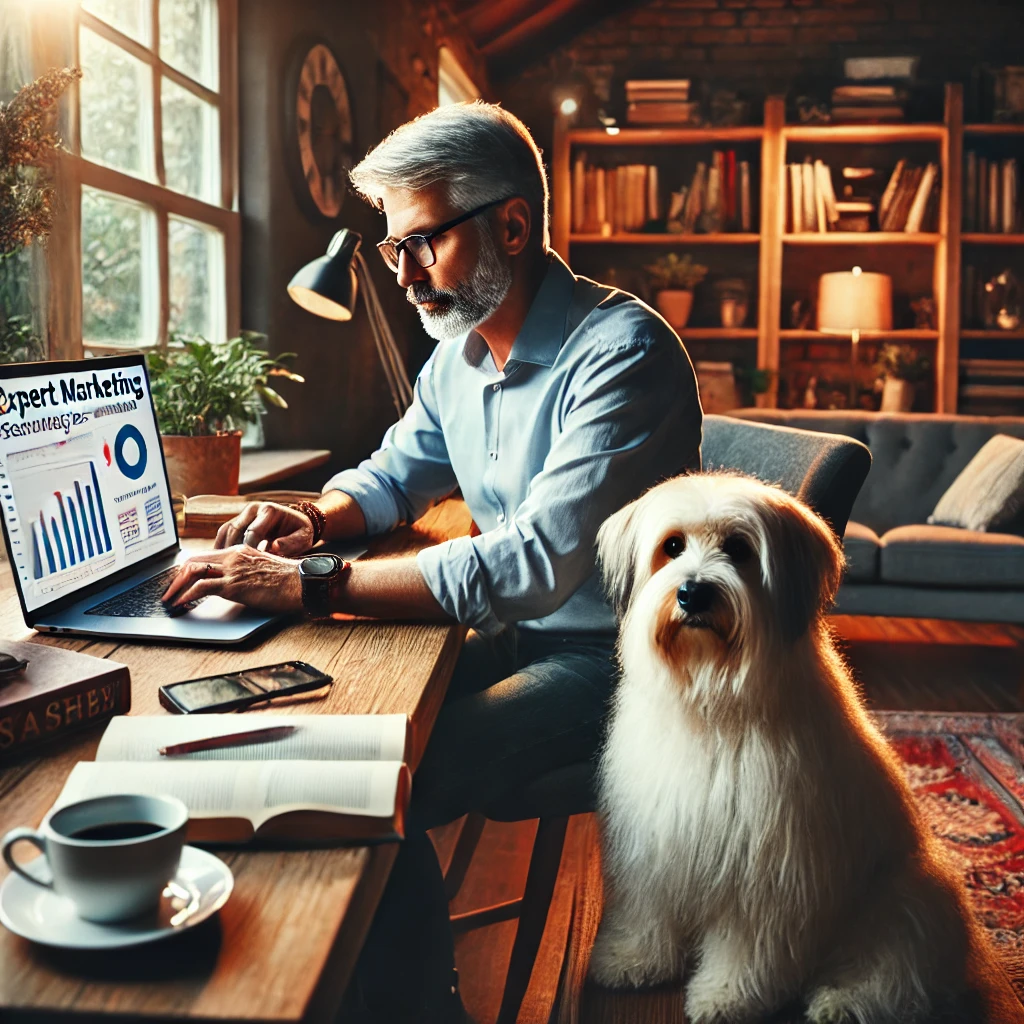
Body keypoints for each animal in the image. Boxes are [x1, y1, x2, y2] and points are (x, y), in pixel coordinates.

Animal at [589, 473, 1019, 1024]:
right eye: (672, 547)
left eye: (739, 549)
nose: (693, 593)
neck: (714, 700)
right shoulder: (655, 841)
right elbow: (648, 910)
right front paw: (632, 959)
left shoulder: (771, 862)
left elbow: (748, 945)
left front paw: (727, 995)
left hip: (902, 900)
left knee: (895, 976)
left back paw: (843, 1001)